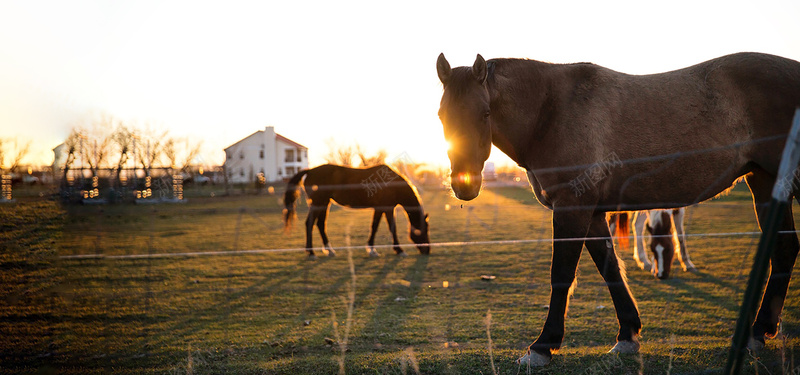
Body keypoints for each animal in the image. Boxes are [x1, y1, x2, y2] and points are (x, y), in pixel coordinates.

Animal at [282, 164, 432, 258]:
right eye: (423, 230)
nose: (427, 250)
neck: (392, 185)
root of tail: (310, 170)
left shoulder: (380, 208)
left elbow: (374, 226)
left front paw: (372, 249)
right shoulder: (387, 208)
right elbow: (390, 227)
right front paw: (399, 250)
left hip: (324, 203)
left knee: (320, 224)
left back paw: (329, 251)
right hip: (318, 203)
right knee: (310, 223)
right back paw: (311, 253)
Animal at [438, 52, 800, 368]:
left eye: (485, 113)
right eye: (442, 115)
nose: (465, 185)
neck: (550, 110)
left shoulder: (572, 207)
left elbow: (562, 275)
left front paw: (542, 347)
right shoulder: (593, 213)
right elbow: (610, 268)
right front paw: (628, 334)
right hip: (764, 181)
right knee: (785, 249)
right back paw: (758, 332)